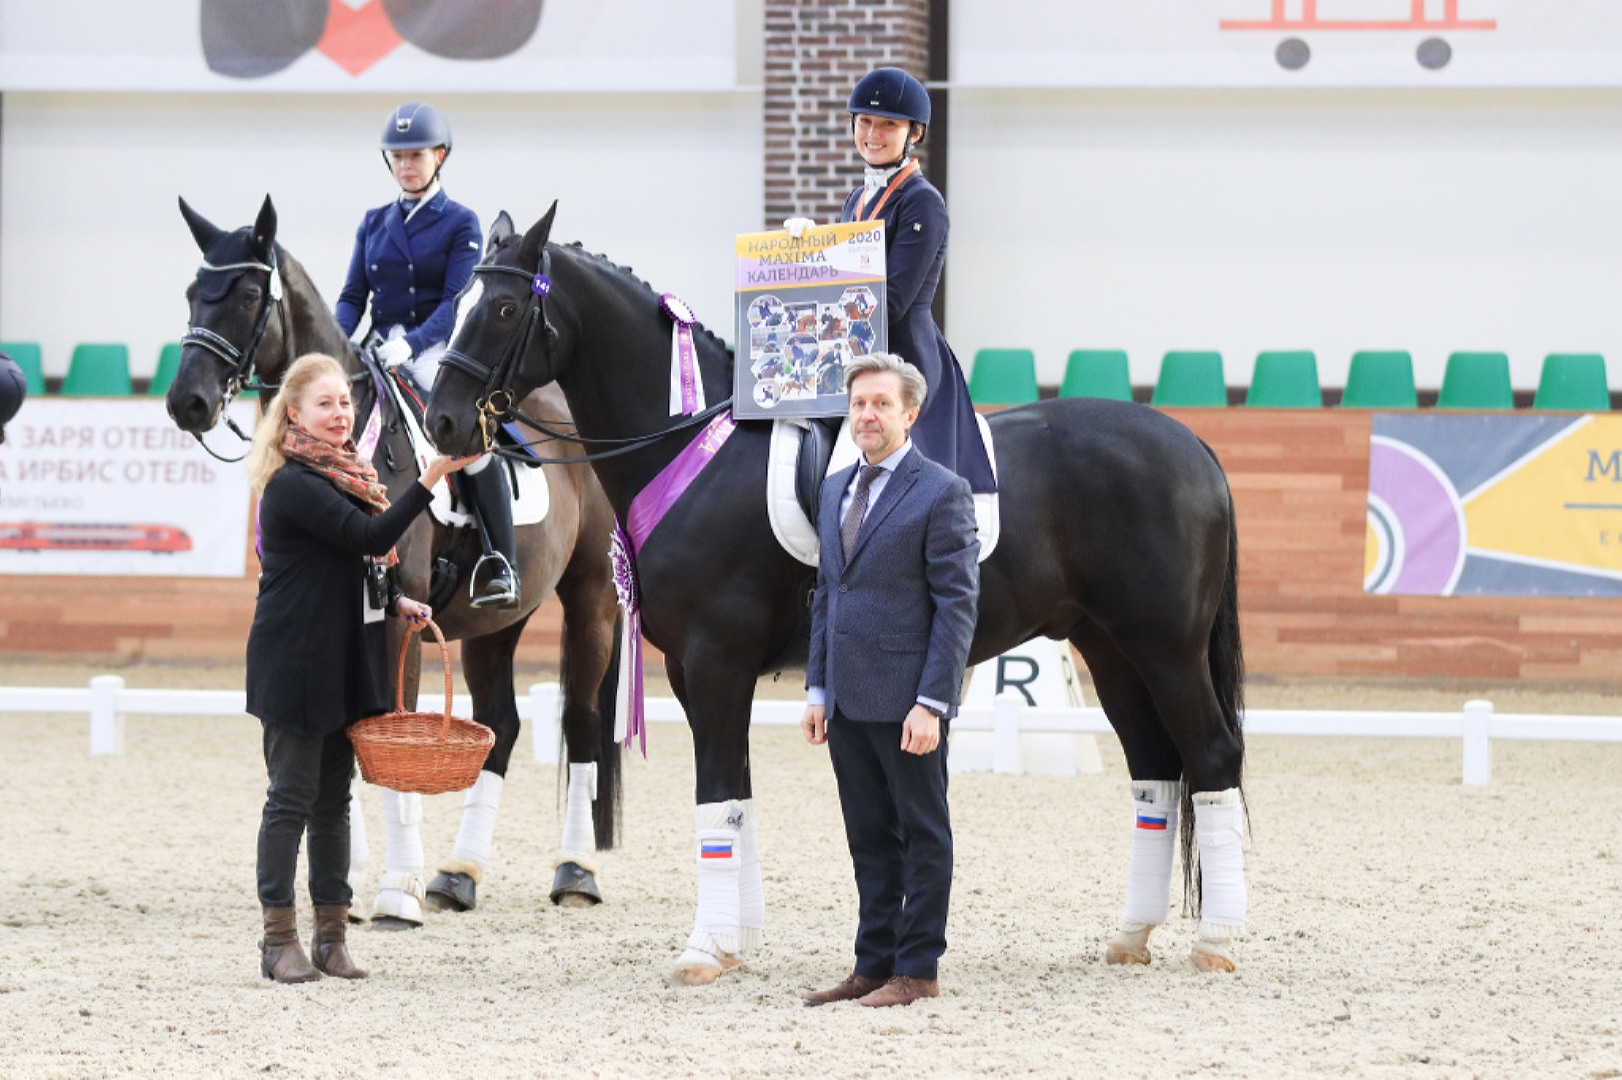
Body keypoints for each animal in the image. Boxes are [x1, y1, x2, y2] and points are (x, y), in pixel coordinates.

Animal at [163, 197, 619, 921]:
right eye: (190, 294)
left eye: (245, 295)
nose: (189, 402)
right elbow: (350, 735)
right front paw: (350, 878)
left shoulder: (400, 611)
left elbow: (388, 727)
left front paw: (394, 888)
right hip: (498, 620)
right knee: (501, 725)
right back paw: (458, 875)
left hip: (592, 598)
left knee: (581, 726)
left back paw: (574, 872)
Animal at [424, 204, 1245, 985]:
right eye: (458, 302)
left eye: (503, 308)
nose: (444, 423)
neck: (692, 450)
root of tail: (1193, 444)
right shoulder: (693, 671)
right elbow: (737, 799)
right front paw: (736, 943)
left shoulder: (717, 660)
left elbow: (715, 797)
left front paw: (702, 949)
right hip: (1110, 649)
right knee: (1155, 771)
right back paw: (1133, 935)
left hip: (1164, 649)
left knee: (1212, 753)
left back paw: (1216, 941)